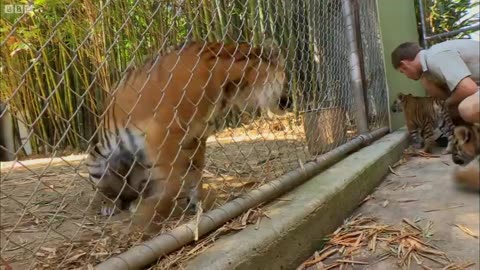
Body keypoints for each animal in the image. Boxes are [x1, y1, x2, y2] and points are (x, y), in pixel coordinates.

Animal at [84, 39, 290, 231]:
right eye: (286, 77)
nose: (289, 101)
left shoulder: (196, 136)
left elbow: (195, 171)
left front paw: (198, 203)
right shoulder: (163, 133)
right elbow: (172, 181)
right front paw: (150, 215)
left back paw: (136, 201)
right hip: (98, 160)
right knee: (108, 191)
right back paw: (111, 205)